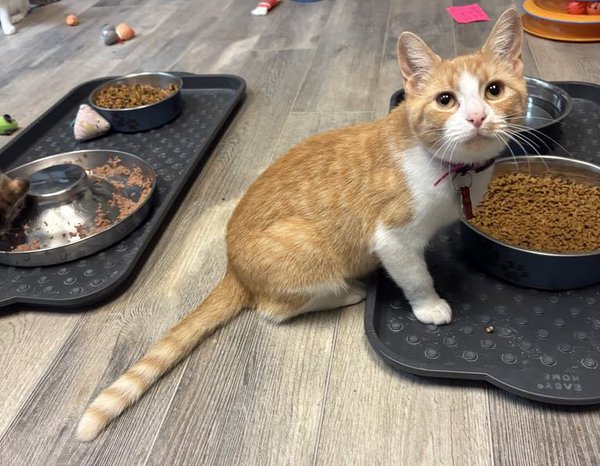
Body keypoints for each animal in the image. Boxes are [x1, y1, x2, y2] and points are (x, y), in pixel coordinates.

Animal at [77, 9, 526, 442]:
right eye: (445, 99)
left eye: (494, 90)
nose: (477, 117)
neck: (450, 167)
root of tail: (232, 268)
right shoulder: (392, 238)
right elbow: (415, 275)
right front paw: (430, 304)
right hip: (307, 247)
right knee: (274, 309)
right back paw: (347, 292)